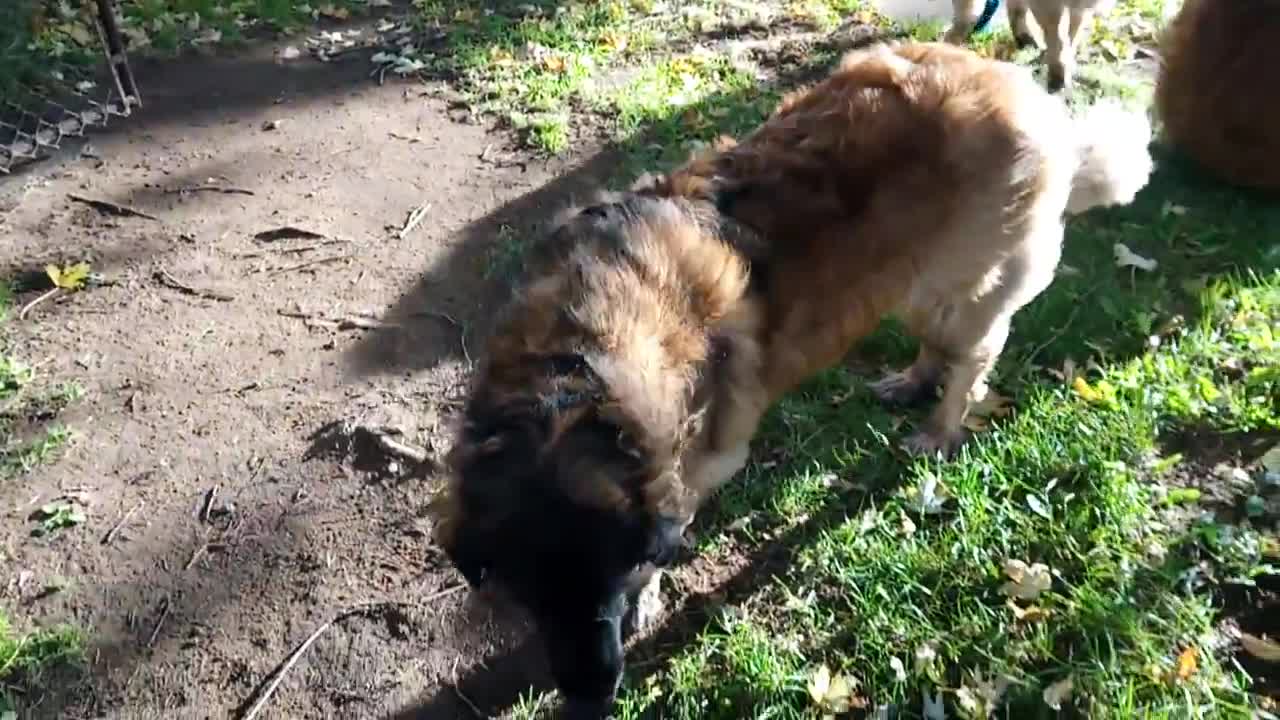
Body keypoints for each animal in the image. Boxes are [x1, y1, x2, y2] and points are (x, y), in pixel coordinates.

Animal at [430, 41, 1152, 712]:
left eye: (610, 578)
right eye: (534, 596)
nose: (589, 697)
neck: (574, 369)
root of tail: (1031, 96)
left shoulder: (696, 458)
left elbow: (675, 522)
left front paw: (650, 596)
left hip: (959, 287)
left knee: (973, 358)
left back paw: (939, 429)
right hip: (912, 278)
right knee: (936, 346)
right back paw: (909, 381)